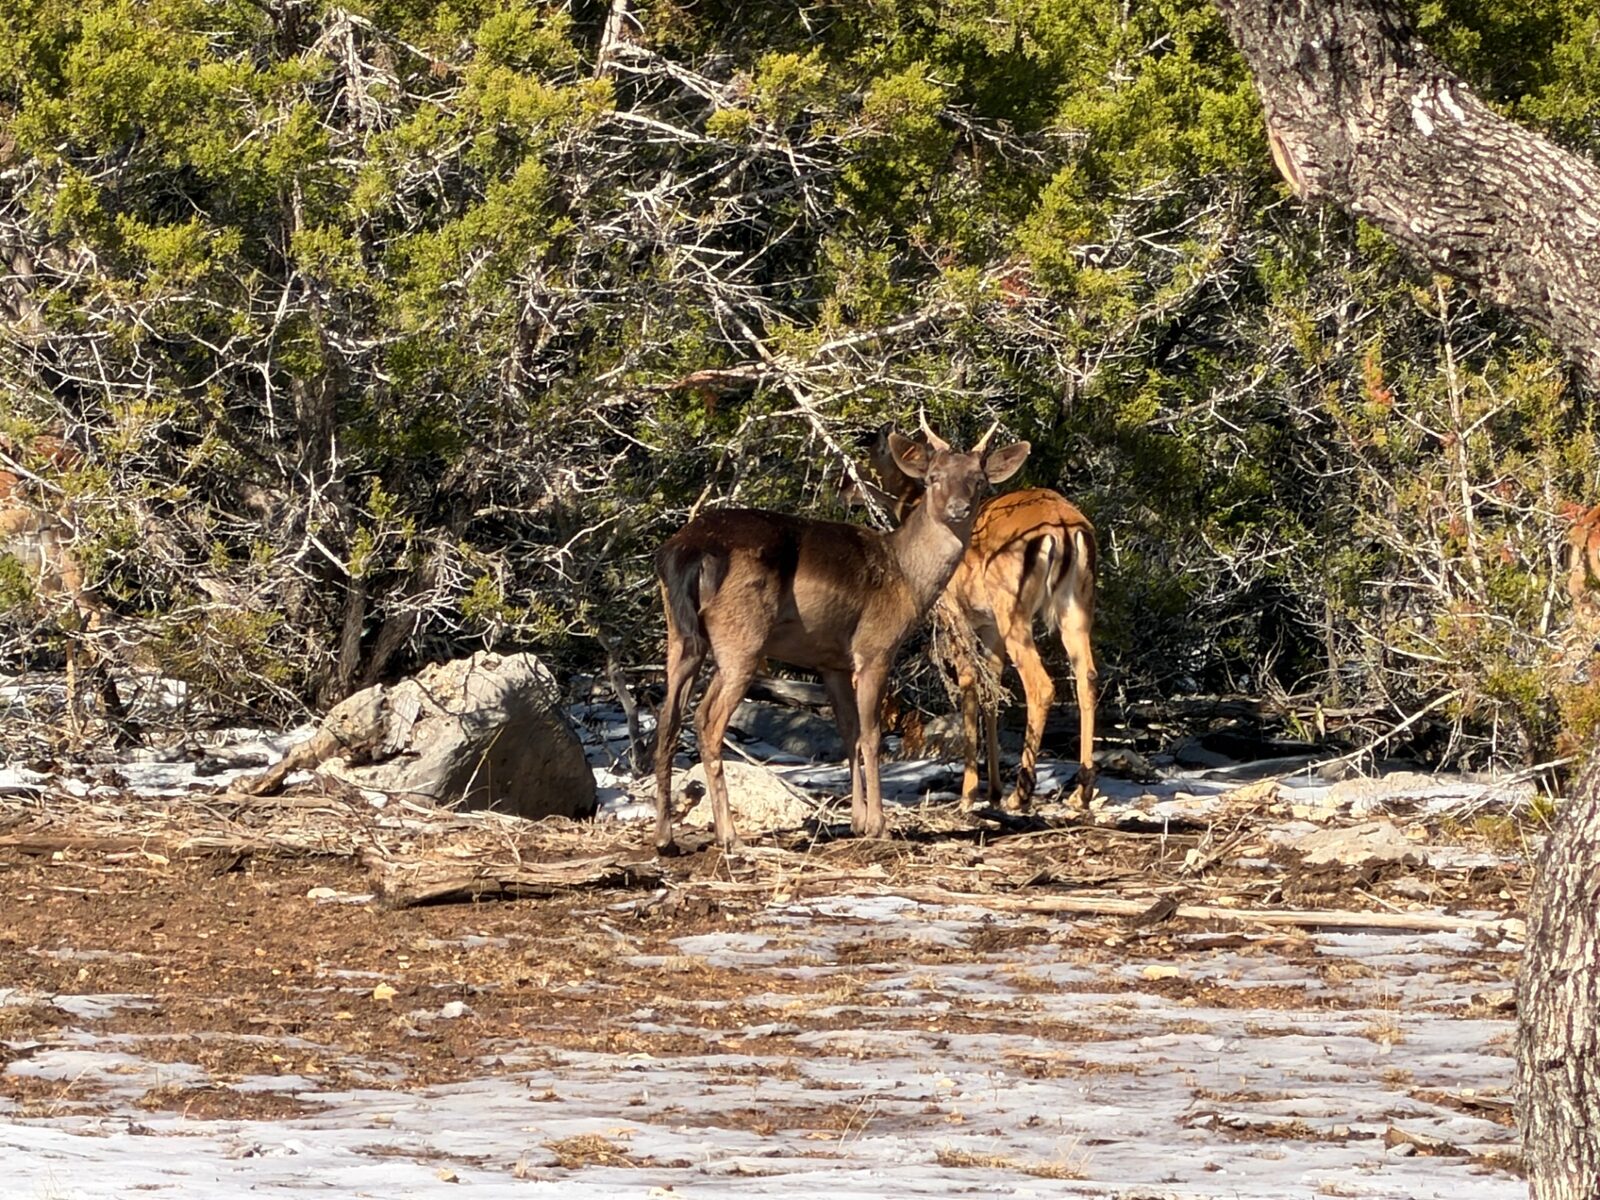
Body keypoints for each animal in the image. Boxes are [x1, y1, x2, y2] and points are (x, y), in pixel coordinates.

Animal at [651, 419, 1030, 854]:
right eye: (933, 478)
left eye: (978, 481)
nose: (958, 509)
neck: (907, 577)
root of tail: (686, 551)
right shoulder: (875, 646)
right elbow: (872, 734)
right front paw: (879, 825)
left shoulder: (831, 660)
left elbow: (849, 733)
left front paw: (858, 821)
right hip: (741, 635)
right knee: (707, 720)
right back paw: (729, 836)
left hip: (681, 634)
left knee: (667, 718)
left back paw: (665, 838)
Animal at [849, 424, 1097, 813]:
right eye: (935, 476)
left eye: (870, 455)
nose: (846, 489)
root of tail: (1063, 527)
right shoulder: (988, 623)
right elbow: (991, 687)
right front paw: (991, 789)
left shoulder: (955, 611)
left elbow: (968, 683)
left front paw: (969, 792)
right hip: (1076, 604)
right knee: (1087, 675)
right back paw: (1080, 791)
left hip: (1013, 606)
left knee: (1040, 684)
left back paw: (1021, 794)